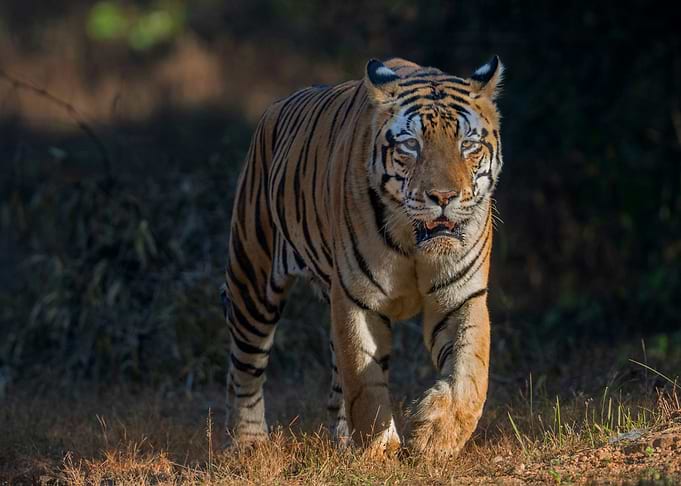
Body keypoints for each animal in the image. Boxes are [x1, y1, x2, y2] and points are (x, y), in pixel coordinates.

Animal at [221, 55, 504, 457]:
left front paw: (436, 434)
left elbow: (470, 371)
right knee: (243, 370)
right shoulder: (358, 299)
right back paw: (249, 445)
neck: (414, 242)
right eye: (411, 145)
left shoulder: (461, 296)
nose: (443, 197)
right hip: (252, 279)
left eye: (468, 145)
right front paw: (379, 451)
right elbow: (365, 380)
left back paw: (342, 441)